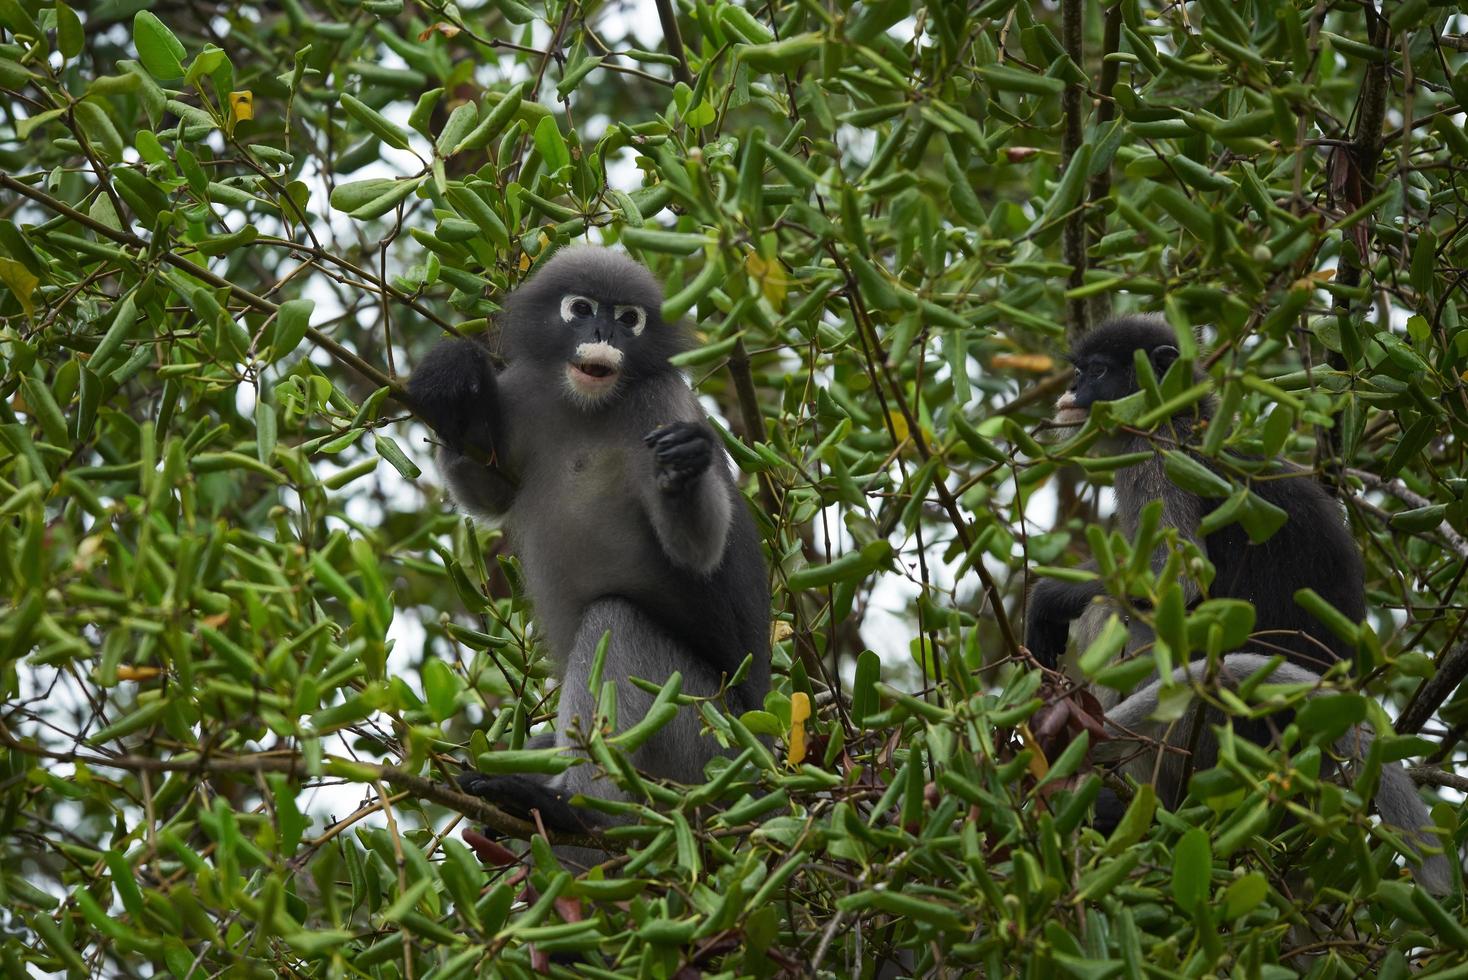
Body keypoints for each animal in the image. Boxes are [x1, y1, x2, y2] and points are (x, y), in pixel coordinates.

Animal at [402, 243, 769, 845]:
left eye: (629, 318)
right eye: (580, 308)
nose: (604, 331)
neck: (588, 406)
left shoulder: (662, 400)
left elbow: (699, 549)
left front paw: (685, 464)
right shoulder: (523, 393)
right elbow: (489, 493)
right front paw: (455, 383)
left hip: (706, 737)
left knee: (613, 619)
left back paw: (572, 809)